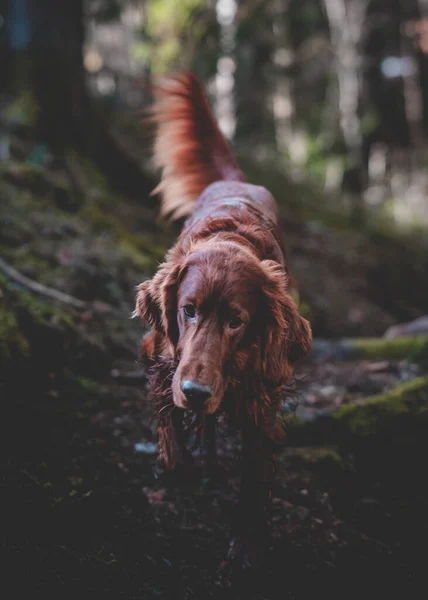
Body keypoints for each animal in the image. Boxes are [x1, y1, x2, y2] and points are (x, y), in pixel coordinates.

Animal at [135, 71, 312, 576]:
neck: (231, 238)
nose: (196, 391)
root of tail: (238, 181)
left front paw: (246, 545)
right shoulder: (163, 356)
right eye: (187, 309)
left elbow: (254, 473)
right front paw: (178, 464)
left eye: (237, 321)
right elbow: (169, 427)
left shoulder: (262, 390)